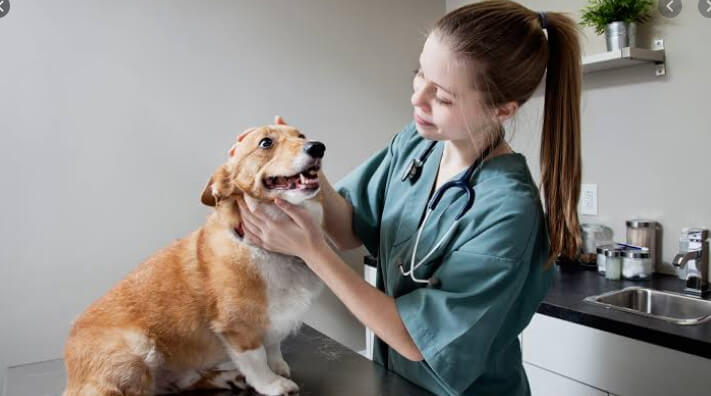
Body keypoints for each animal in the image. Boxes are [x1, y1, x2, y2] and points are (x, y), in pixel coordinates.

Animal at [62, 122, 326, 394]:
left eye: (301, 135)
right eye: (266, 143)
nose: (318, 147)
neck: (268, 250)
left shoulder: (276, 321)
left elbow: (273, 348)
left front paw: (277, 366)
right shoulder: (238, 329)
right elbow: (257, 361)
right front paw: (273, 384)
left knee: (183, 381)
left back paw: (229, 378)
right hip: (138, 348)